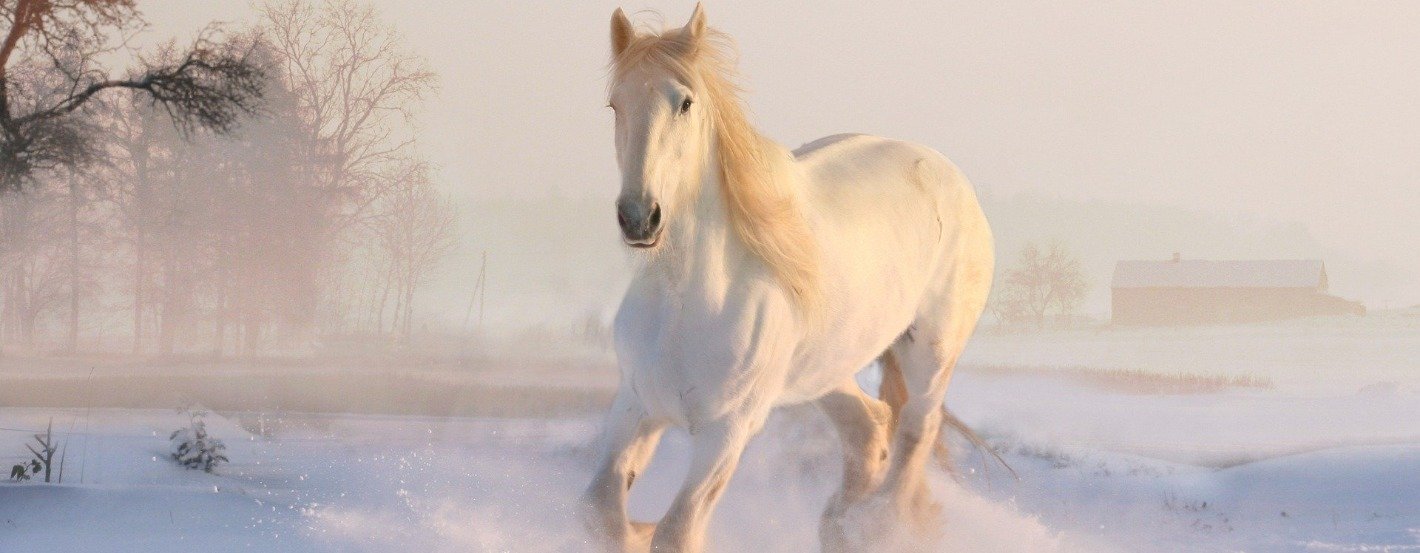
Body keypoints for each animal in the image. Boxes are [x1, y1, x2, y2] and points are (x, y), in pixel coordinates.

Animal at [582, 5, 994, 551]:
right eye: (615, 104)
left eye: (685, 102)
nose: (638, 217)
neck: (687, 304)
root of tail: (951, 177)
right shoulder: (636, 407)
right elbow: (601, 512)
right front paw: (636, 526)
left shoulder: (727, 432)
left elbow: (677, 531)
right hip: (827, 368)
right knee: (869, 430)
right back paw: (842, 523)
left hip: (931, 351)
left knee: (915, 430)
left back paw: (877, 522)